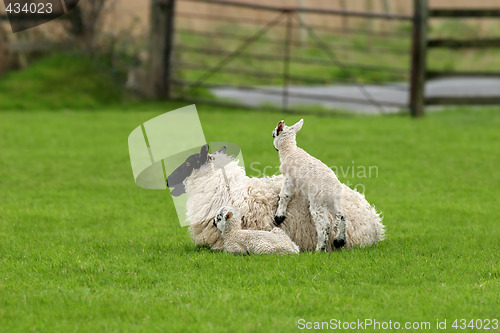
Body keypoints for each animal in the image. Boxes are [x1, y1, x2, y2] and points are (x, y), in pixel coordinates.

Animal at [274, 118, 348, 250]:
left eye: (273, 135)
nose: (275, 148)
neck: (289, 150)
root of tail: (334, 191)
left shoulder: (289, 178)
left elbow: (284, 195)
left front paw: (279, 217)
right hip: (333, 202)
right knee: (341, 217)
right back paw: (339, 241)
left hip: (318, 202)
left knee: (325, 225)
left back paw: (320, 249)